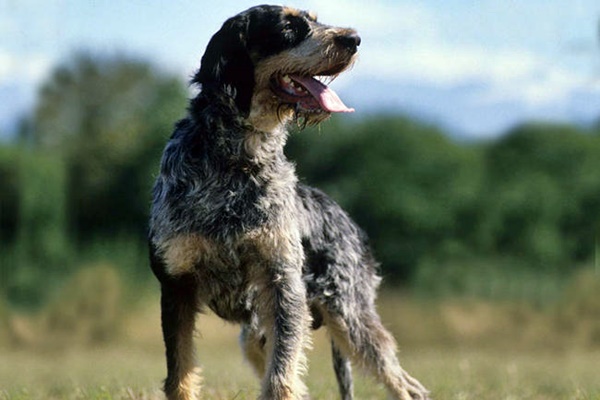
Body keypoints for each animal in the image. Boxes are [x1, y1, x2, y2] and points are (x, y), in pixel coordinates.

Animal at [150, 3, 432, 400]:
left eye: (314, 20)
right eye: (288, 28)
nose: (354, 39)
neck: (238, 161)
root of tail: (347, 219)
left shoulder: (282, 283)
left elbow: (281, 378)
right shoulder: (177, 285)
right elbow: (180, 376)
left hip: (349, 316)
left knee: (407, 386)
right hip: (257, 336)